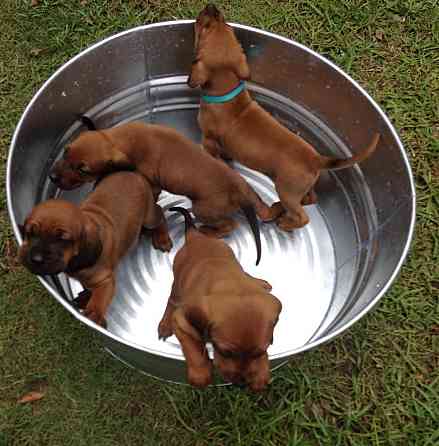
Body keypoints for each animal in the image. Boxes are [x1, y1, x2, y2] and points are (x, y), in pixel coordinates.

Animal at [18, 172, 168, 326]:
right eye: (30, 233)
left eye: (62, 239)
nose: (36, 259)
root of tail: (133, 173)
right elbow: (88, 287)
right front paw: (86, 296)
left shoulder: (106, 280)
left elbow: (98, 300)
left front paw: (93, 314)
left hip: (149, 216)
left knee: (160, 214)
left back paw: (162, 238)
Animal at [49, 119, 278, 264]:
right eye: (66, 151)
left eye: (83, 170)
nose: (52, 177)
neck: (121, 139)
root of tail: (238, 192)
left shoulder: (151, 185)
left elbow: (154, 207)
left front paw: (158, 236)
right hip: (249, 190)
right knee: (261, 209)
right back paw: (272, 211)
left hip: (203, 209)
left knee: (230, 225)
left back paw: (206, 231)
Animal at [158, 206, 282, 390]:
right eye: (225, 352)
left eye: (259, 352)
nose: (241, 384)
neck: (229, 282)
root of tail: (196, 236)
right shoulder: (180, 321)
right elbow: (193, 348)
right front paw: (200, 374)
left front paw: (260, 373)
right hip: (178, 281)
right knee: (172, 299)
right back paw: (165, 324)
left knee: (245, 272)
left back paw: (260, 283)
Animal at [189, 4, 382, 230]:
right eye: (225, 24)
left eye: (205, 27)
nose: (211, 7)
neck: (226, 92)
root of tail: (316, 159)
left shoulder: (208, 139)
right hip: (303, 188)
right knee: (310, 199)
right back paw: (279, 208)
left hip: (287, 189)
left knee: (302, 216)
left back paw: (284, 223)